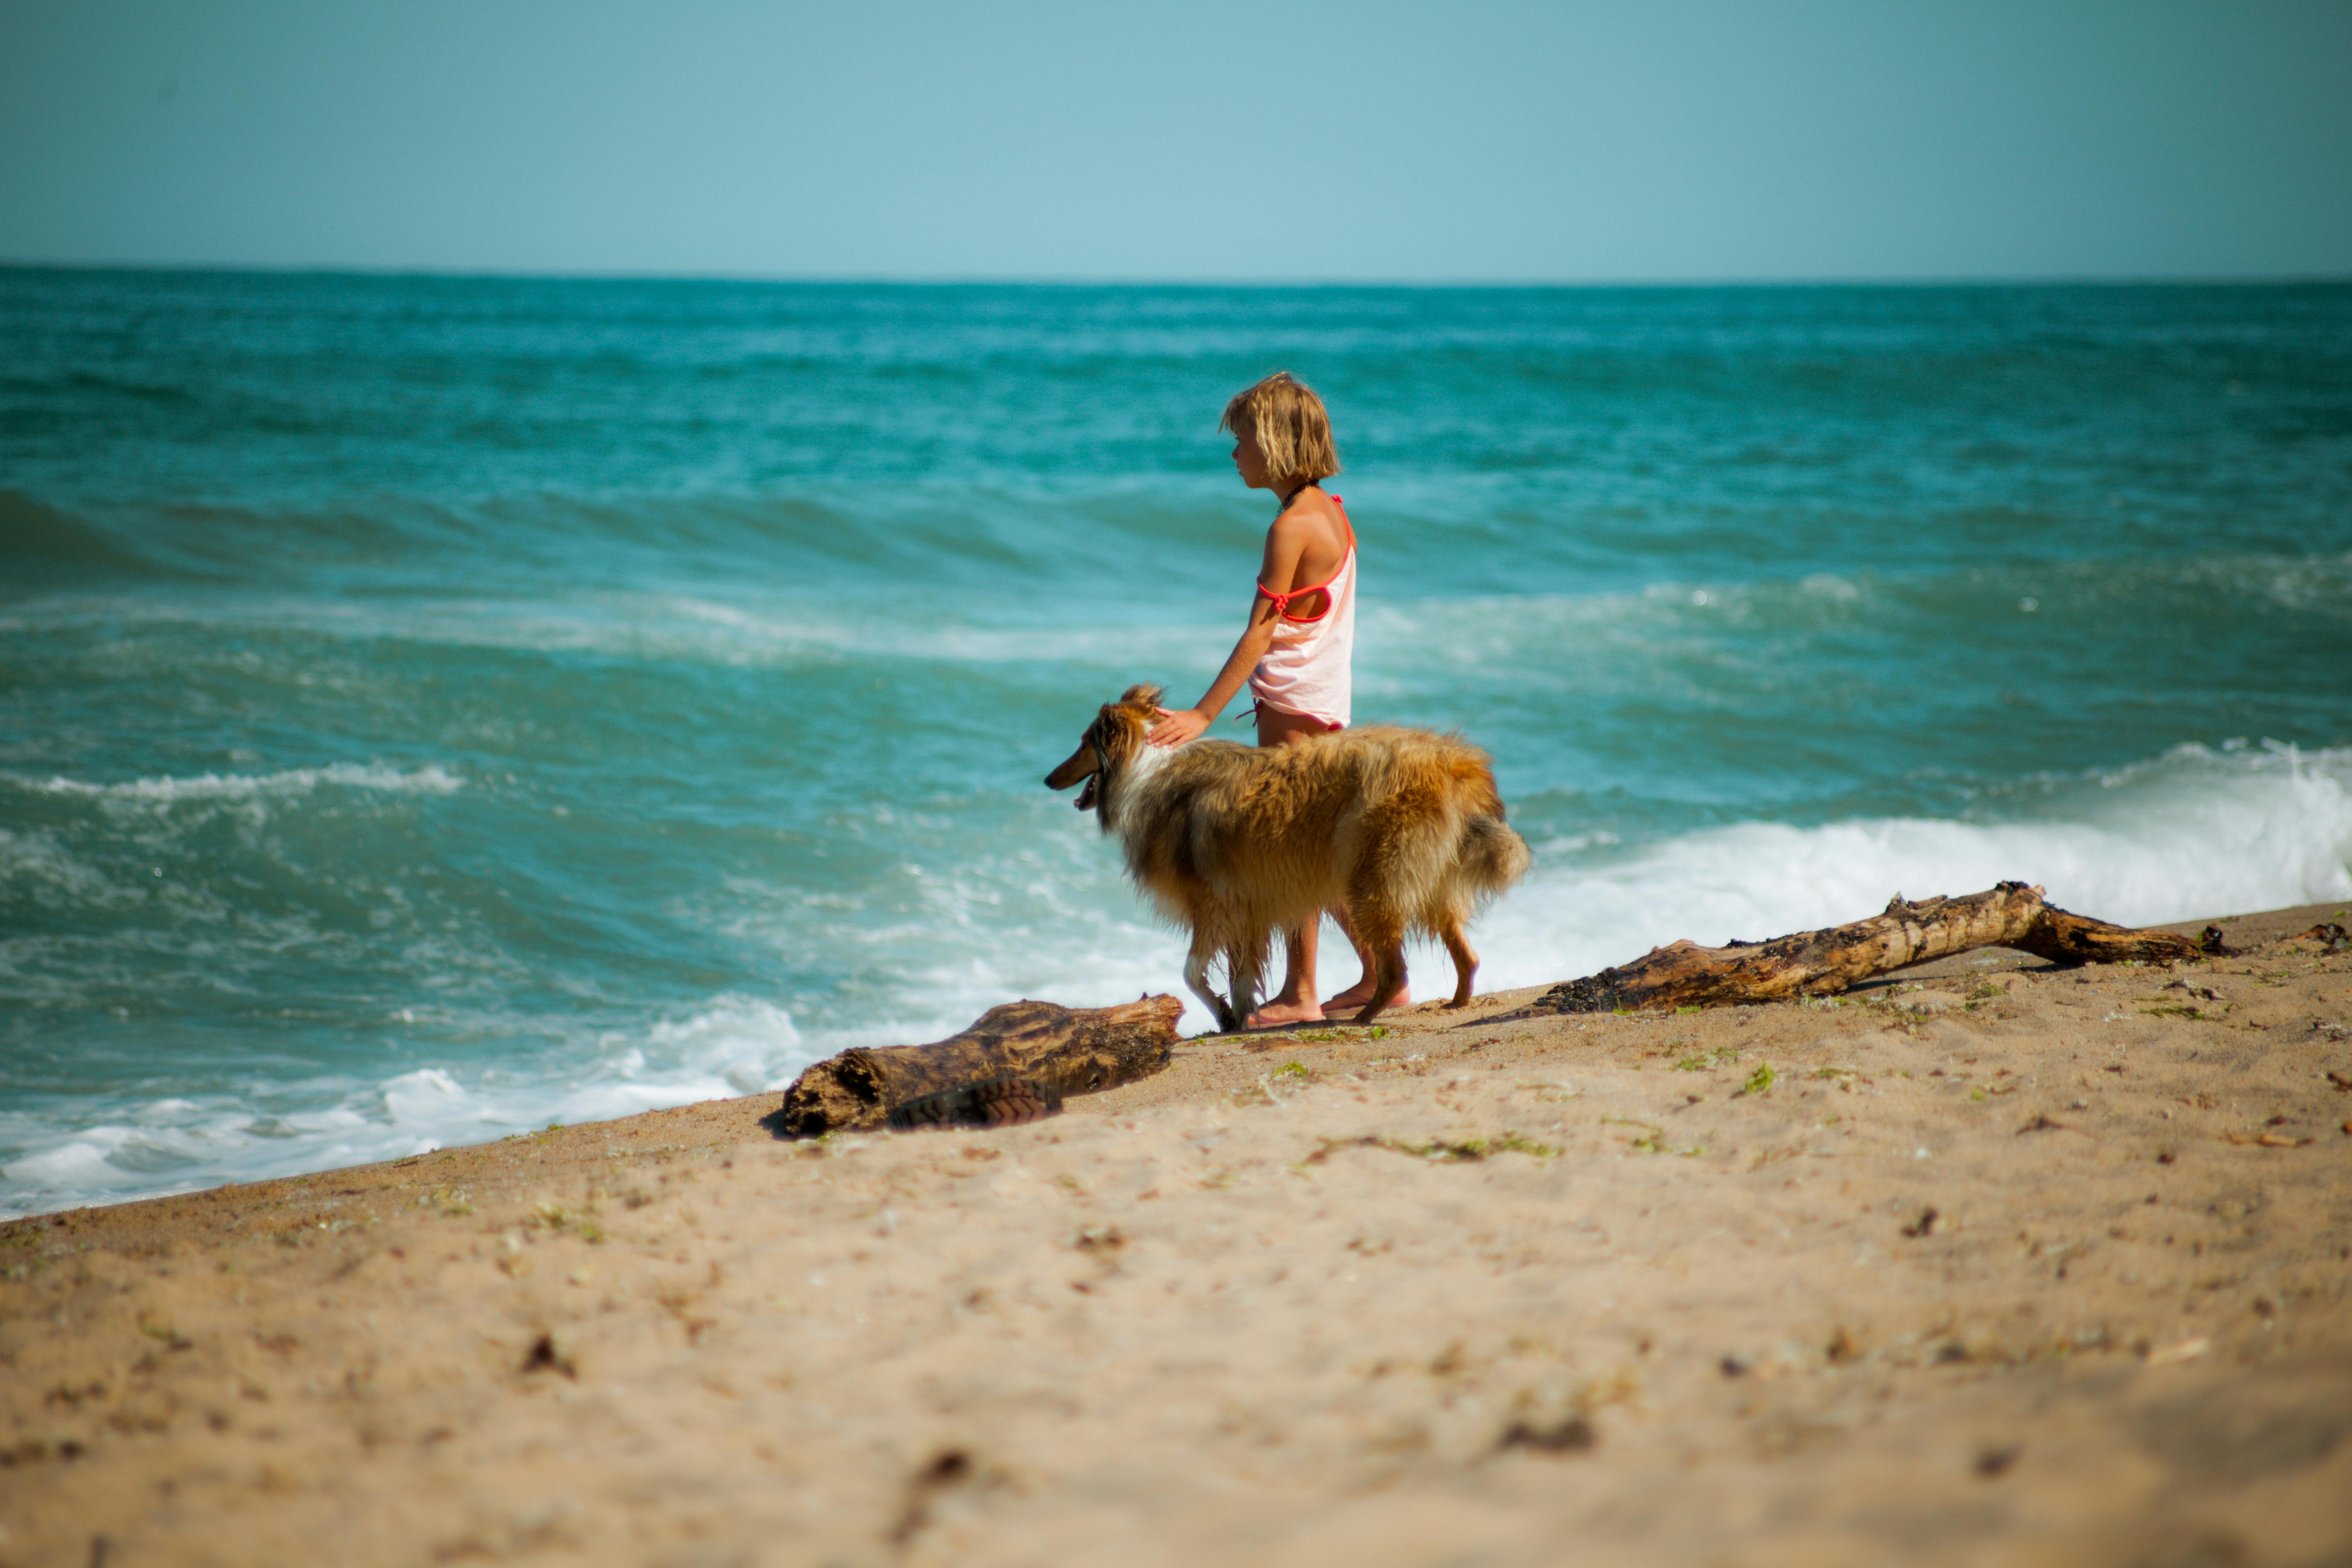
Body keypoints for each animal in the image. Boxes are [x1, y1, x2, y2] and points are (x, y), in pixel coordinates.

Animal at [1044, 682, 1524, 1029]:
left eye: (1084, 743)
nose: (1047, 779)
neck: (1143, 766)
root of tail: (1455, 764)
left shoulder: (1213, 904)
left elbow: (1192, 972)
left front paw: (1224, 1013)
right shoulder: (1248, 906)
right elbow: (1239, 973)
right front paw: (1238, 1017)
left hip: (1372, 879)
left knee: (1397, 971)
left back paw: (1363, 1016)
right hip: (1428, 881)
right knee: (1467, 956)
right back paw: (1457, 1002)